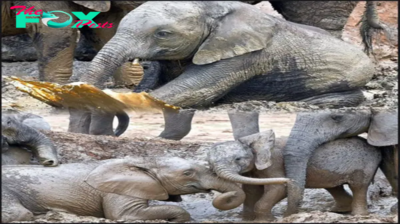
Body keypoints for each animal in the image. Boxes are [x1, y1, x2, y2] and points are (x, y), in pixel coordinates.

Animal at [206, 130, 382, 221]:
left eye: (237, 159)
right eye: (210, 164)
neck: (252, 140)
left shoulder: (275, 162)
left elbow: (279, 189)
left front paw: (265, 221)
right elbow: (251, 190)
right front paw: (247, 220)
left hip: (365, 164)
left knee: (359, 186)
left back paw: (358, 215)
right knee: (334, 187)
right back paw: (337, 211)